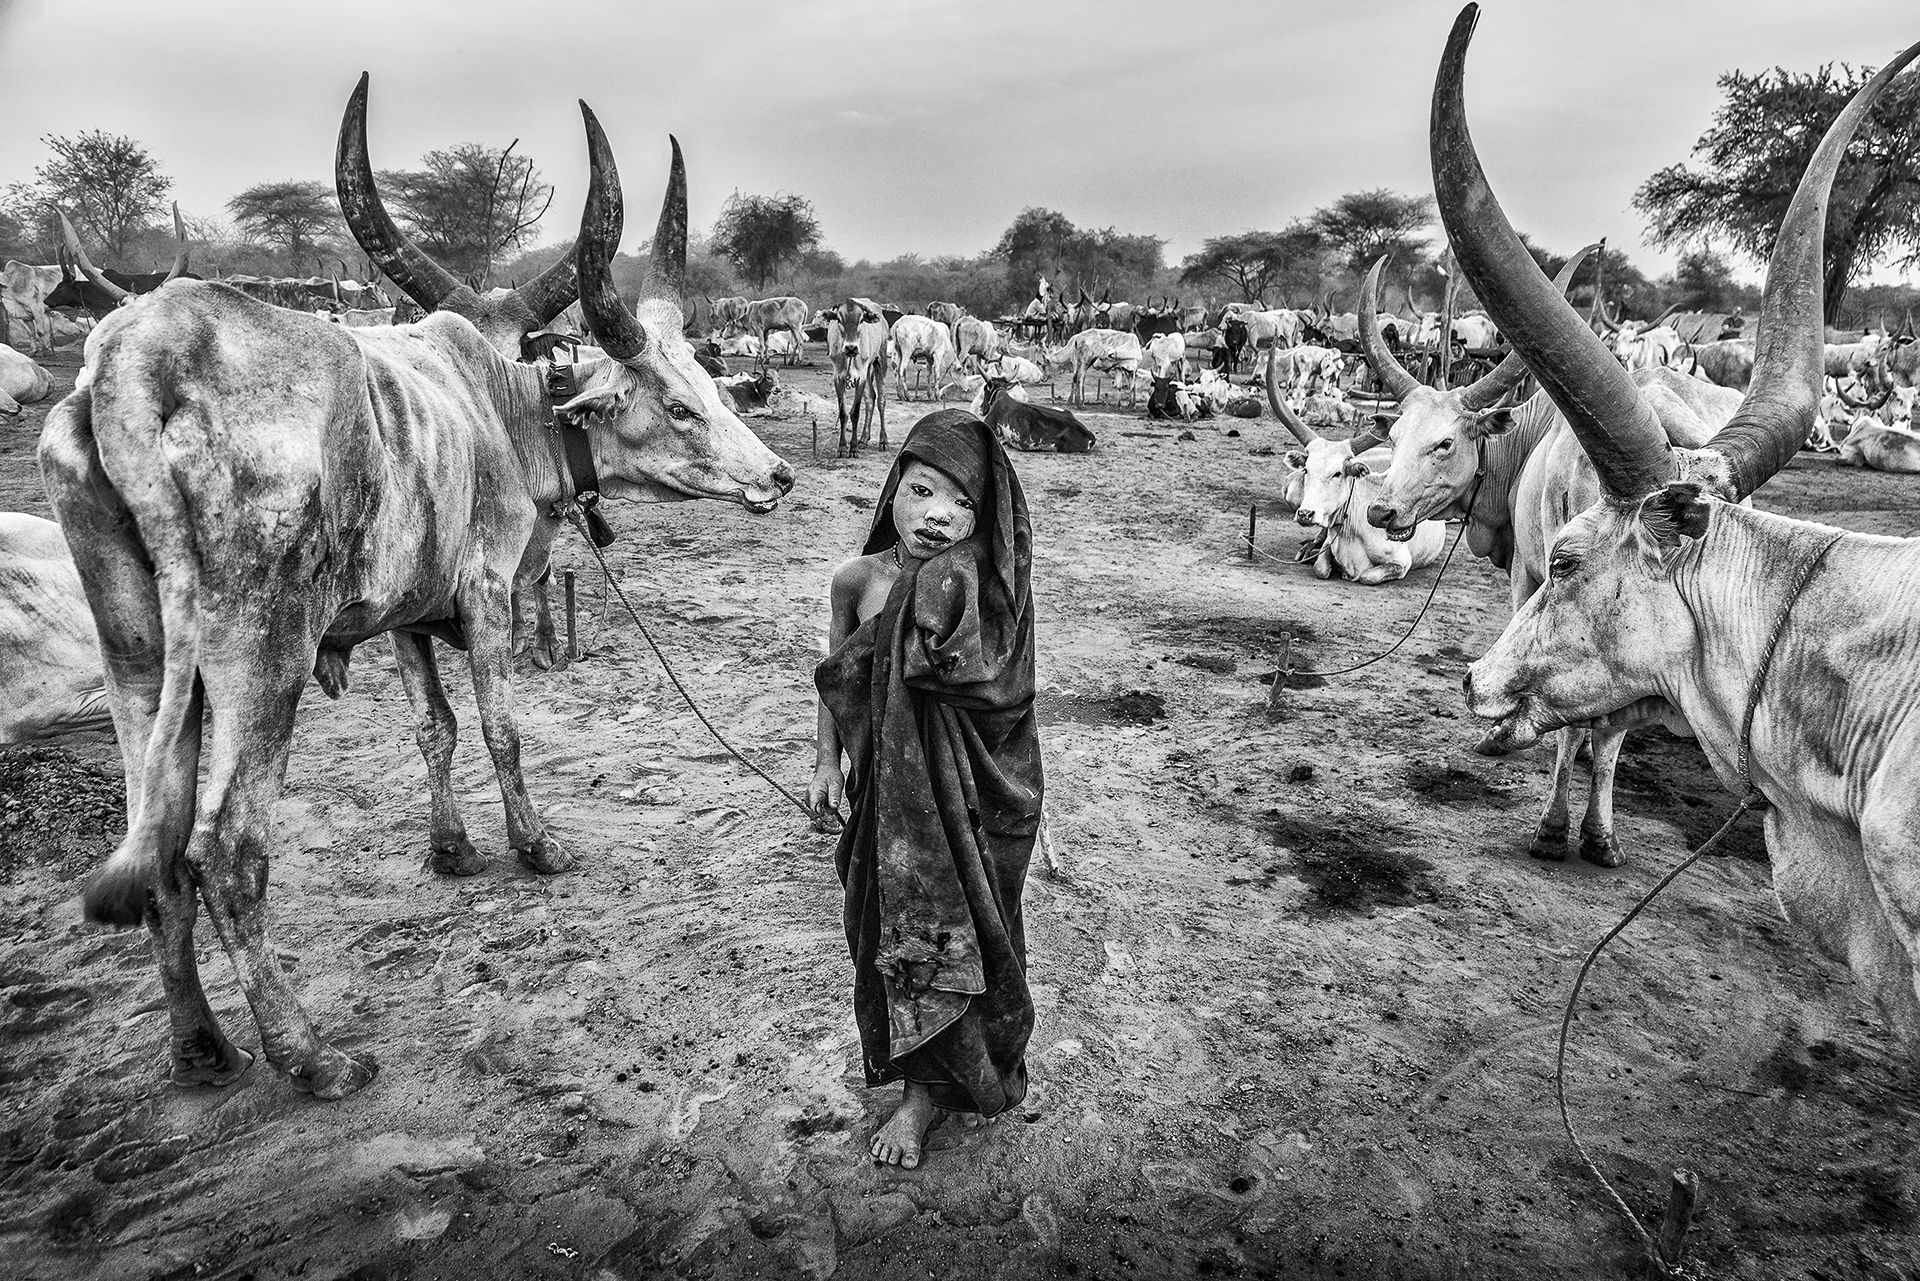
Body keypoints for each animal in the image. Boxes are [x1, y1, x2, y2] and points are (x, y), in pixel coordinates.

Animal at [45, 82, 794, 1106]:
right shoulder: (483, 593)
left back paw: (201, 1048)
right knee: (226, 850)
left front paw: (452, 849)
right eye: (678, 406)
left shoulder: (405, 614)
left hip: (140, 656)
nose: (777, 477)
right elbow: (500, 727)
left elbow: (434, 727)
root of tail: (134, 364)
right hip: (263, 652)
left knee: (157, 847)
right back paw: (307, 1054)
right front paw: (534, 846)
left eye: (714, 390)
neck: (506, 412)